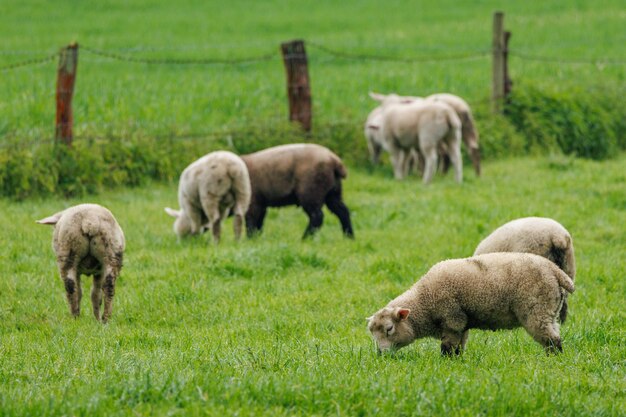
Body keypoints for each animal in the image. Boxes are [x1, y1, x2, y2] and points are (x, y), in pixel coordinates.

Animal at [366, 250, 576, 354]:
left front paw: (446, 365)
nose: (381, 354)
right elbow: (460, 346)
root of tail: (555, 270)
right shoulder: (462, 323)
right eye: (372, 334)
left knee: (552, 340)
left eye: (389, 329)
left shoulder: (452, 319)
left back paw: (554, 359)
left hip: (536, 309)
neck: (424, 300)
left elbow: (448, 348)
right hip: (549, 310)